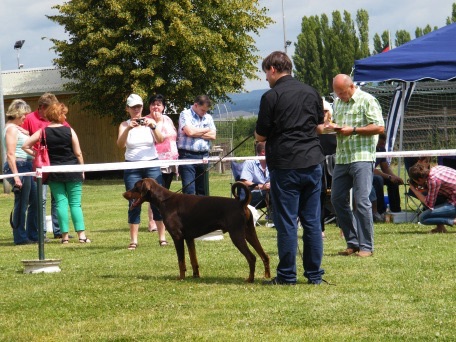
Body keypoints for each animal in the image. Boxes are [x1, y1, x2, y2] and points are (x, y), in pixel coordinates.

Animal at [122, 178, 270, 282]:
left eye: (135, 187)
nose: (123, 194)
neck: (164, 200)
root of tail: (241, 203)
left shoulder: (177, 237)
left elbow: (181, 261)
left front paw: (181, 277)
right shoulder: (189, 238)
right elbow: (194, 260)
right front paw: (196, 276)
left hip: (236, 234)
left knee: (252, 257)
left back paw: (250, 279)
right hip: (249, 232)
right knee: (265, 255)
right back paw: (267, 276)